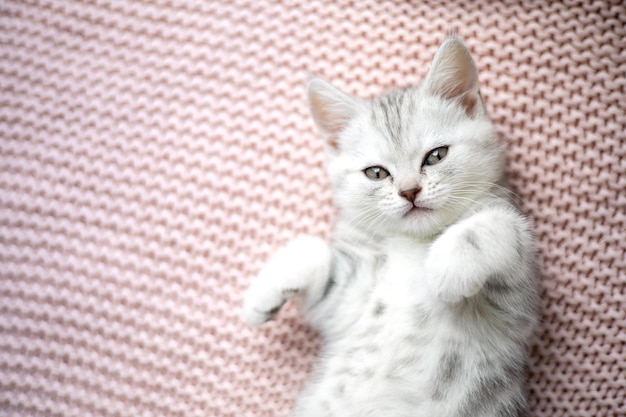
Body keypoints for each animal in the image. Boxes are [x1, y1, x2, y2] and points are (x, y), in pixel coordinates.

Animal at [241, 36, 540, 416]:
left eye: (436, 155)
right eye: (376, 173)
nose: (409, 191)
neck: (415, 243)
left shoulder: (518, 306)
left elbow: (496, 224)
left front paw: (447, 269)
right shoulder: (349, 302)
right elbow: (316, 250)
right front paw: (260, 297)